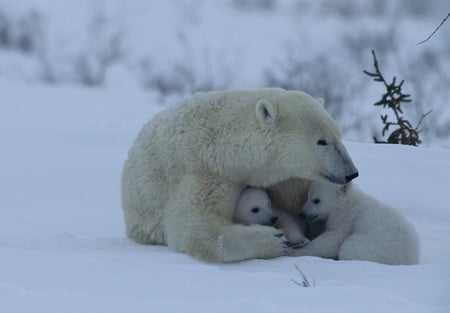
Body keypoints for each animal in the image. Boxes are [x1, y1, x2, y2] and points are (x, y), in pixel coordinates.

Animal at [120, 88, 358, 260]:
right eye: (321, 141)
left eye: (339, 135)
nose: (351, 173)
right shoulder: (204, 172)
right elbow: (194, 228)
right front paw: (273, 240)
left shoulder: (283, 178)